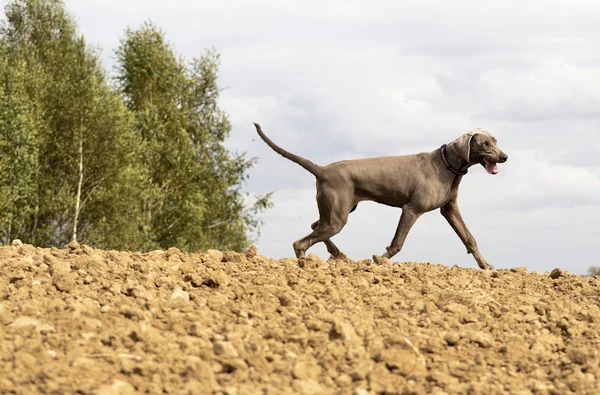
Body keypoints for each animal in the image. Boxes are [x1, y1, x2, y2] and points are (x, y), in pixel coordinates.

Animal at [253, 124, 506, 270]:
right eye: (484, 143)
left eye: (495, 140)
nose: (505, 157)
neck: (447, 165)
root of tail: (322, 169)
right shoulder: (411, 209)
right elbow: (397, 243)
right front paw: (380, 260)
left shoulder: (450, 209)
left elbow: (469, 239)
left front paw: (486, 266)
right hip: (337, 217)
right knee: (301, 242)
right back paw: (304, 265)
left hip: (338, 211)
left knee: (315, 225)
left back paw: (338, 255)